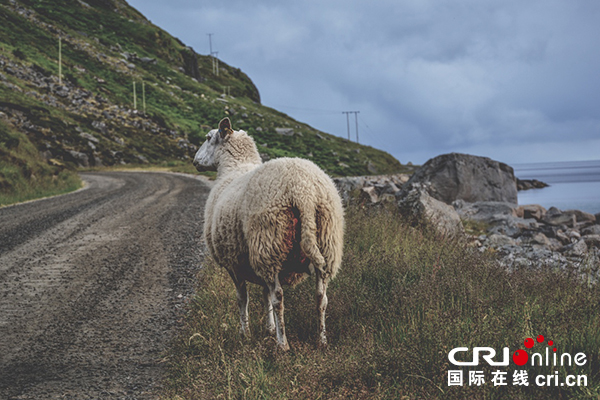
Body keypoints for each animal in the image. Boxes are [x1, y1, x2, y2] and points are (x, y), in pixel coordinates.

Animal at [192, 117, 342, 348]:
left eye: (208, 137)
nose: (194, 161)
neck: (234, 167)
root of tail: (303, 191)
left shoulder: (233, 263)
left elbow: (242, 298)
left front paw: (245, 332)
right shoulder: (255, 264)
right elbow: (264, 295)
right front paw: (269, 328)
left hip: (269, 243)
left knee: (278, 297)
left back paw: (283, 344)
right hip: (325, 244)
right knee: (321, 297)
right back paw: (321, 339)